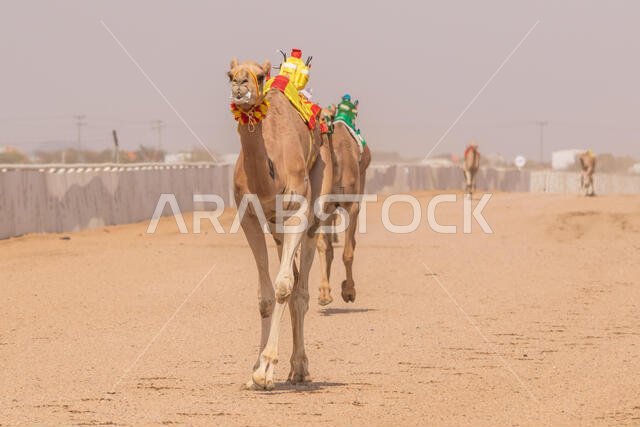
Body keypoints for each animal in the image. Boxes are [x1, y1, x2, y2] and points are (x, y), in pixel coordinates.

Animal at [228, 58, 332, 390]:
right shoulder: (248, 217)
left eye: (260, 76)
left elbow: (284, 287)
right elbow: (265, 296)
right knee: (293, 279)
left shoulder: (298, 211)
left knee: (300, 290)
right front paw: (254, 370)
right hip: (276, 229)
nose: (240, 86)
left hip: (315, 202)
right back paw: (293, 369)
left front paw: (265, 370)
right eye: (229, 74)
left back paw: (300, 369)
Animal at [316, 105, 371, 306]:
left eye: (330, 116)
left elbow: (345, 251)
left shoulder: (348, 206)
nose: (324, 120)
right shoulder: (326, 207)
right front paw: (327, 293)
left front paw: (346, 291)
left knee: (346, 243)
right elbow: (327, 247)